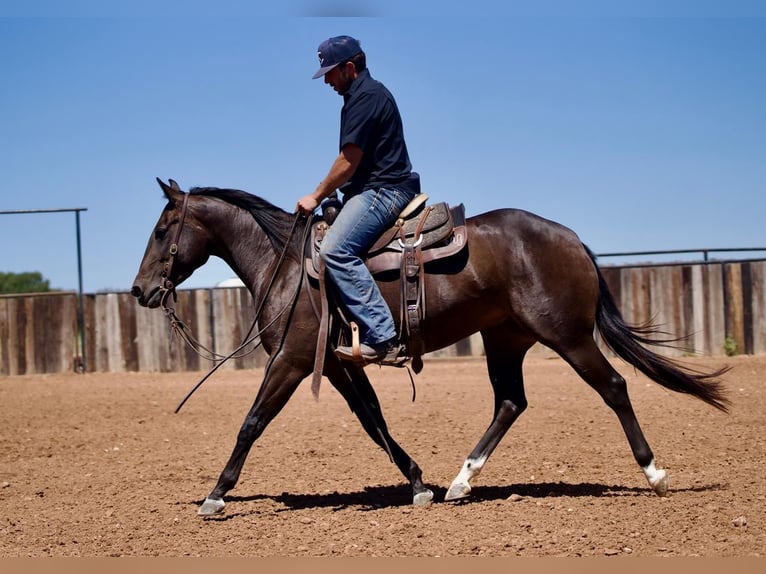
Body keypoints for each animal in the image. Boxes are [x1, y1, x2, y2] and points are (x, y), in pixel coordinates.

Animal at [132, 179, 732, 516]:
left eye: (162, 230)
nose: (140, 291)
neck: (289, 268)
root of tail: (571, 238)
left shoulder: (294, 361)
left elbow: (252, 422)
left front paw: (215, 495)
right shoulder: (341, 367)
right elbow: (373, 421)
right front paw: (419, 483)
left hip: (567, 336)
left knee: (613, 386)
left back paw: (654, 474)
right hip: (505, 339)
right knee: (511, 402)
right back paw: (461, 482)